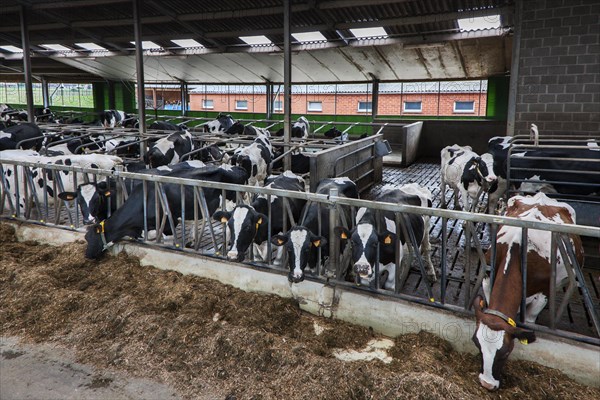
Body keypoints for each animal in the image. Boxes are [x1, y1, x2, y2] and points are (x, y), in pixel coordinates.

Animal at [83, 163, 247, 260]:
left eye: (91, 238)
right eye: (86, 238)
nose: (87, 255)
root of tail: (236, 167)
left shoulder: (168, 223)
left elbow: (163, 239)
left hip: (231, 203)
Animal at [472, 193, 584, 390]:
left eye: (505, 352)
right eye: (478, 345)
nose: (487, 384)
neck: (516, 249)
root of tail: (542, 196)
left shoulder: (543, 294)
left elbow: (531, 320)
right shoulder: (487, 279)